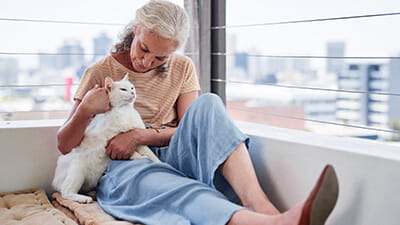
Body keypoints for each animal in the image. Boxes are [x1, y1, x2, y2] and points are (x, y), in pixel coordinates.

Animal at [52, 74, 160, 204]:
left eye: (132, 87)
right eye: (123, 89)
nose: (132, 93)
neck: (125, 111)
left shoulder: (138, 141)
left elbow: (151, 154)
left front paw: (160, 163)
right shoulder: (110, 142)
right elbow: (133, 153)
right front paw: (140, 157)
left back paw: (91, 193)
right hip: (77, 170)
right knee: (66, 192)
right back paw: (84, 199)